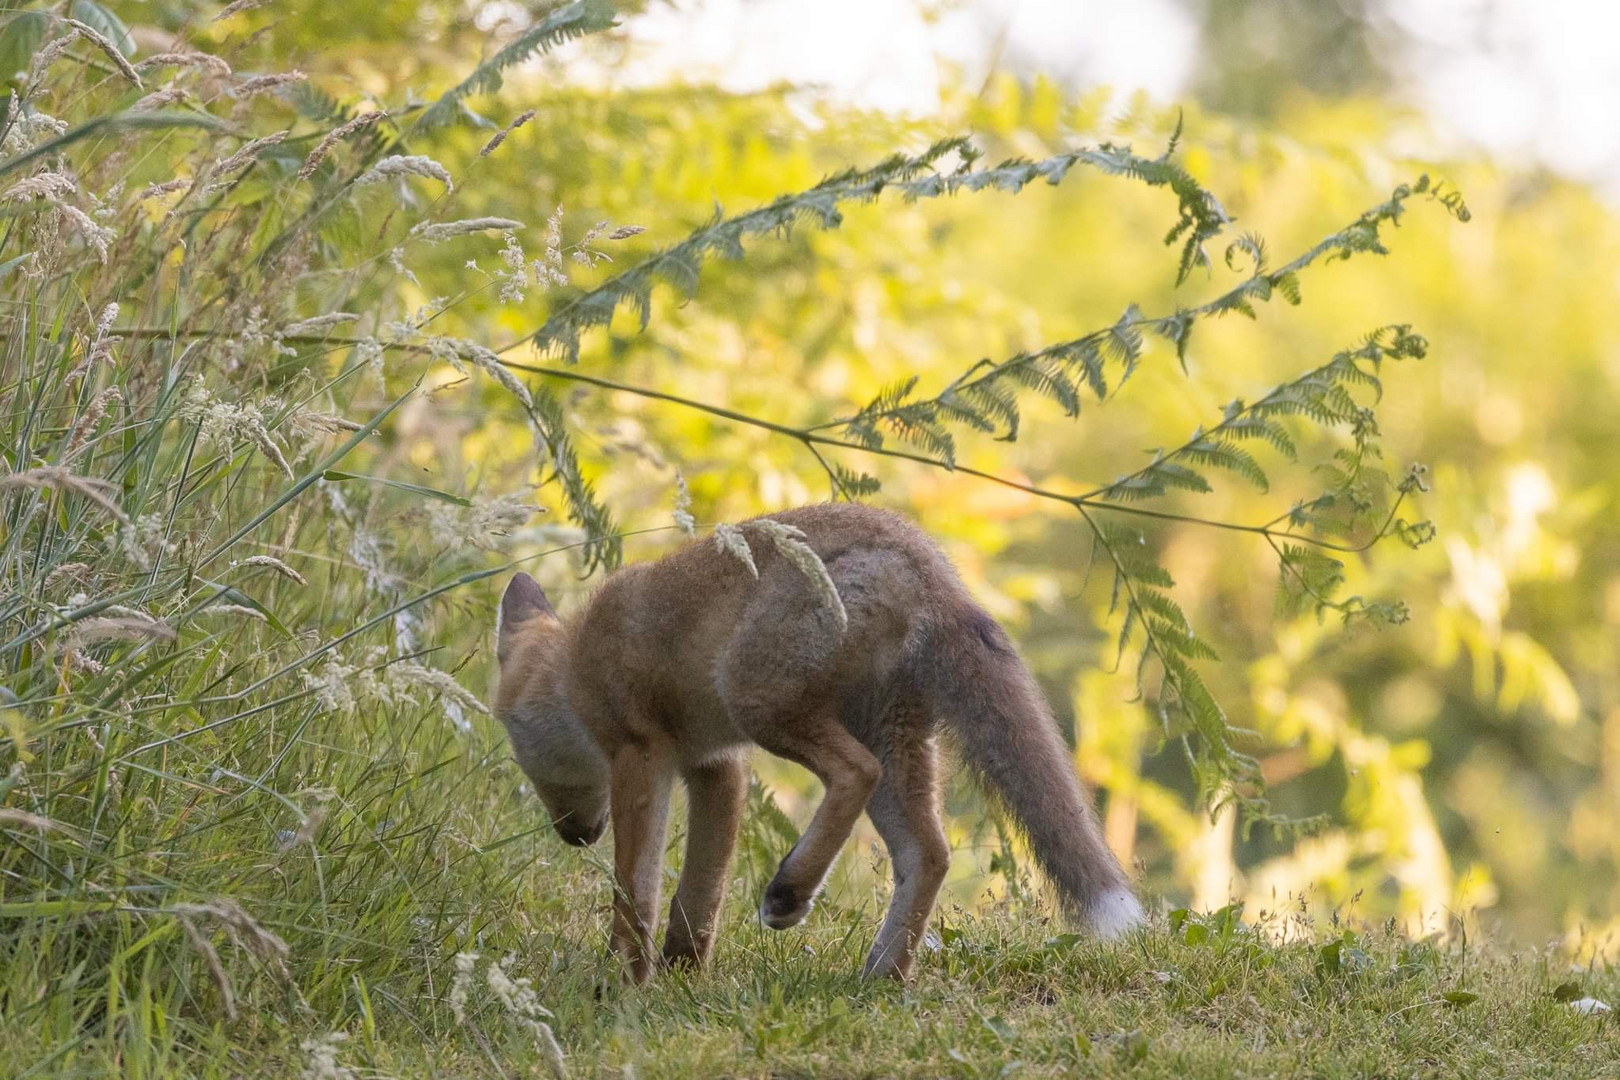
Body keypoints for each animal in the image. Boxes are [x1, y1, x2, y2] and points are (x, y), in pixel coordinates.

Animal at [492, 501, 1140, 984]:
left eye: (521, 753)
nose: (572, 836)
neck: (573, 668)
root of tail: (931, 567)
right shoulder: (718, 766)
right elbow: (701, 890)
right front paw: (682, 970)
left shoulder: (640, 756)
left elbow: (636, 889)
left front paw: (622, 981)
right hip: (888, 737)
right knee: (929, 853)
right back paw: (880, 978)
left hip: (757, 699)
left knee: (855, 772)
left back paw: (791, 891)